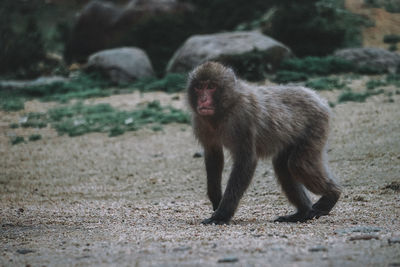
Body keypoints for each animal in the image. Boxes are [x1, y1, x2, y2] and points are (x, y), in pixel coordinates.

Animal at [188, 61, 340, 225]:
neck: (225, 109)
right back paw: (302, 213)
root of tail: (317, 97)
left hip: (316, 124)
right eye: (199, 87)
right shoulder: (201, 122)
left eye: (211, 86)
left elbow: (246, 160)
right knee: (283, 166)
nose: (203, 99)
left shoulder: (243, 118)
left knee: (298, 164)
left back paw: (332, 195)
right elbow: (214, 155)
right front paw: (217, 200)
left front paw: (221, 215)